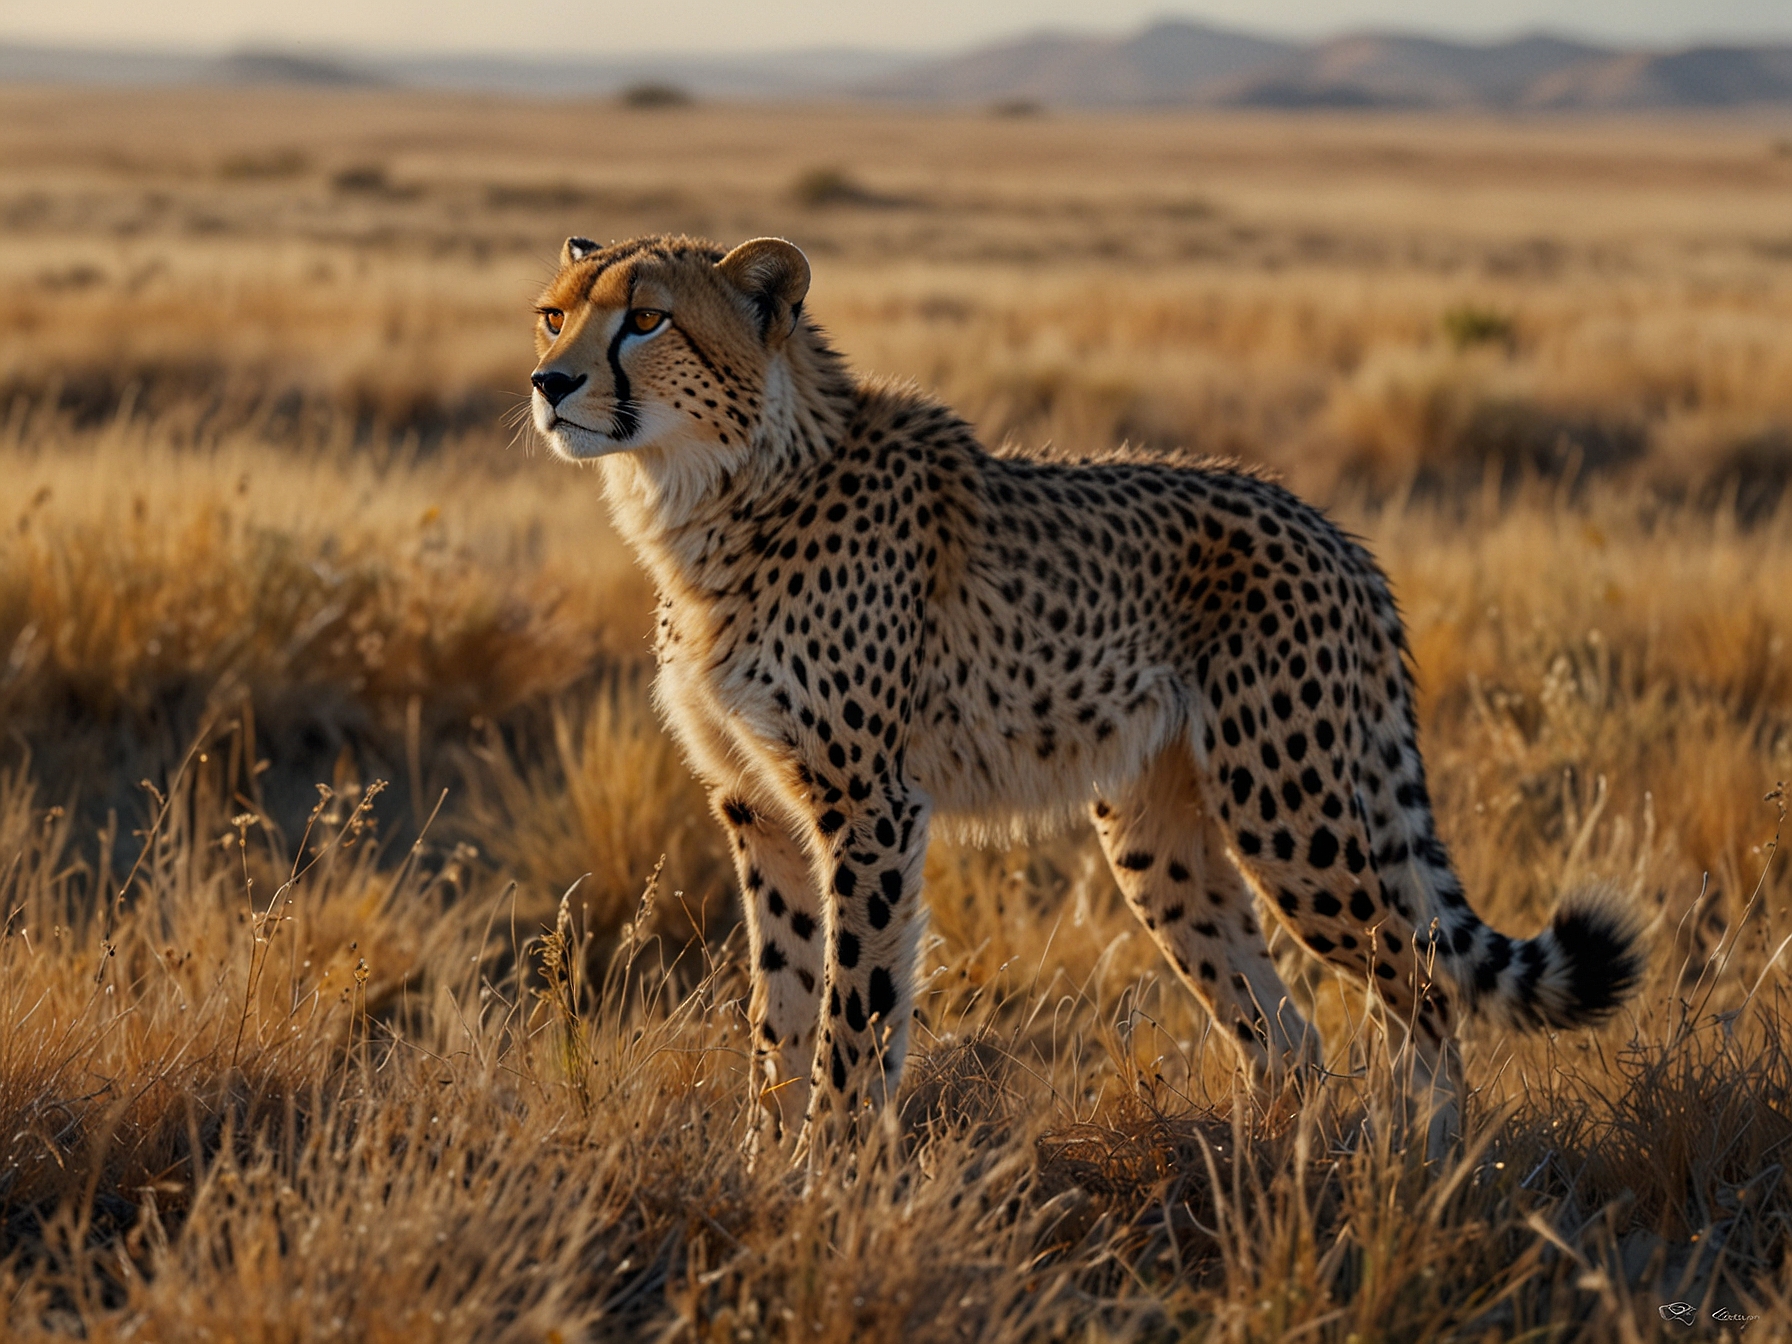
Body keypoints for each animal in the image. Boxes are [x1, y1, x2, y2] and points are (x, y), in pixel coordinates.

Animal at [527, 232, 1644, 1158]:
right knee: (1282, 1030)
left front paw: (826, 1181)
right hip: (1157, 834)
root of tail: (1330, 528)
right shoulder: (757, 808)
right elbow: (783, 1009)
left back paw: (1420, 1163)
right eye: (552, 313)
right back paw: (1253, 1168)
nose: (548, 382)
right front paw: (764, 1170)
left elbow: (854, 1009)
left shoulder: (868, 808)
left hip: (1291, 813)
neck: (711, 492)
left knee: (1417, 986)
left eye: (647, 317)